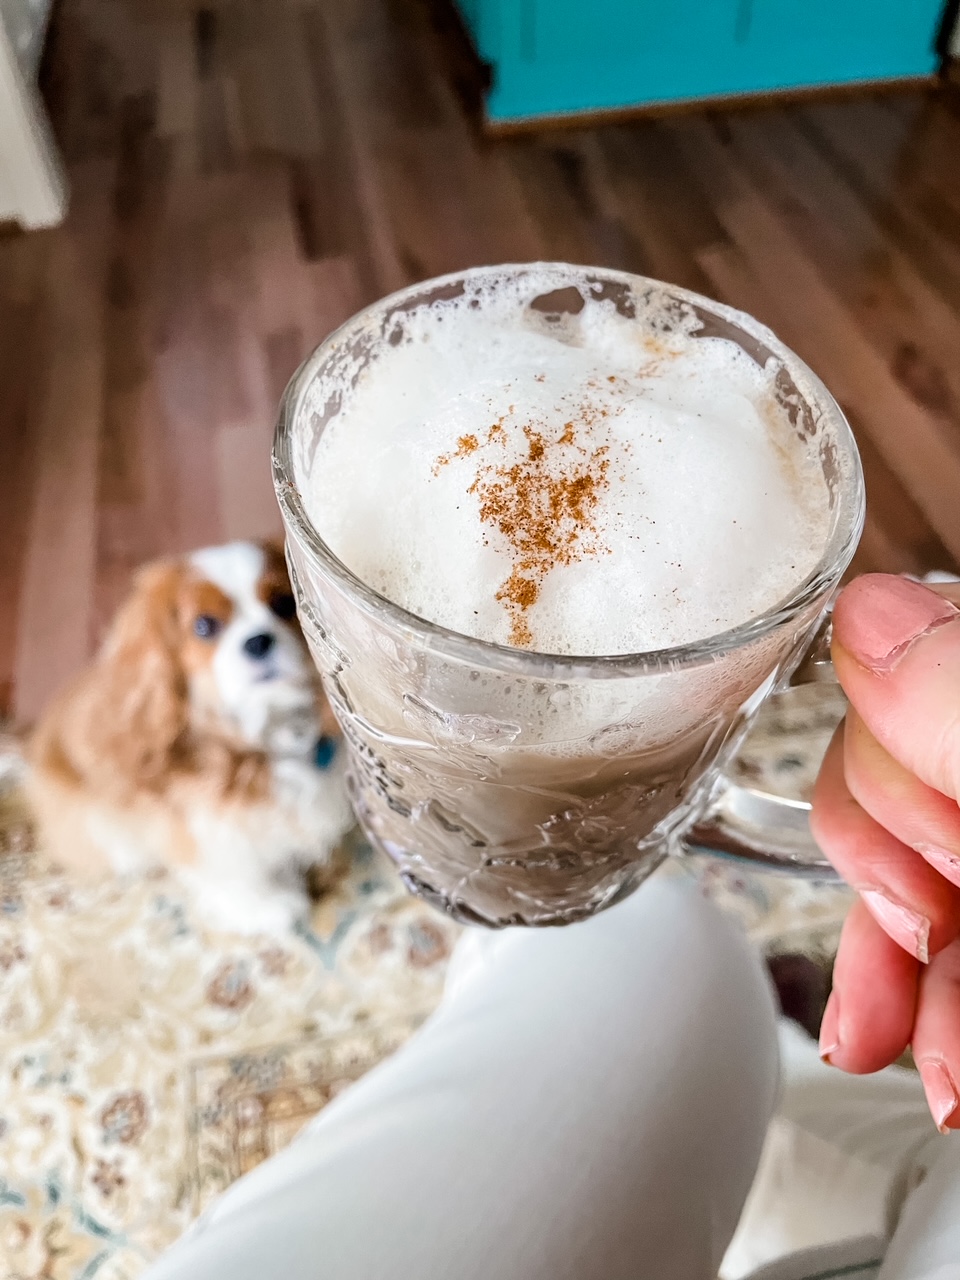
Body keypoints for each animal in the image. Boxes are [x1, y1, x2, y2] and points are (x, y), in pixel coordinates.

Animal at [28, 535, 355, 936]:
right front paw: (265, 907)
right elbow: (230, 871)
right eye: (204, 626)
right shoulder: (200, 826)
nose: (258, 641)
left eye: (283, 603)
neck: (263, 732)